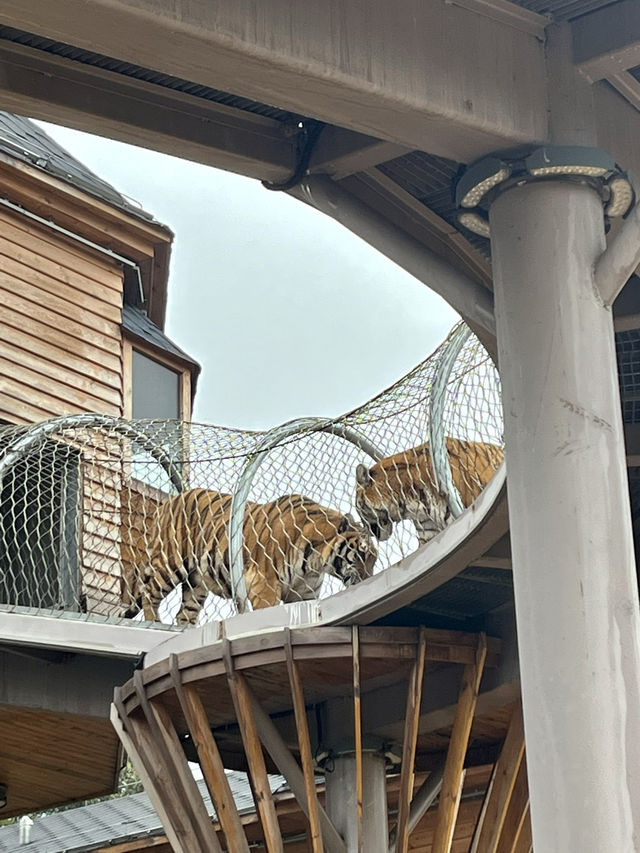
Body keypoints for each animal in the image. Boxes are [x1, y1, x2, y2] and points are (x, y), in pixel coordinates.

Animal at [123, 490, 378, 624]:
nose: (368, 579)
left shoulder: (304, 595)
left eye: (373, 560)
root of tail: (167, 503)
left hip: (197, 583)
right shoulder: (264, 584)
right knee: (149, 592)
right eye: (362, 554)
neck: (317, 562)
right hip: (169, 564)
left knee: (184, 614)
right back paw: (154, 622)